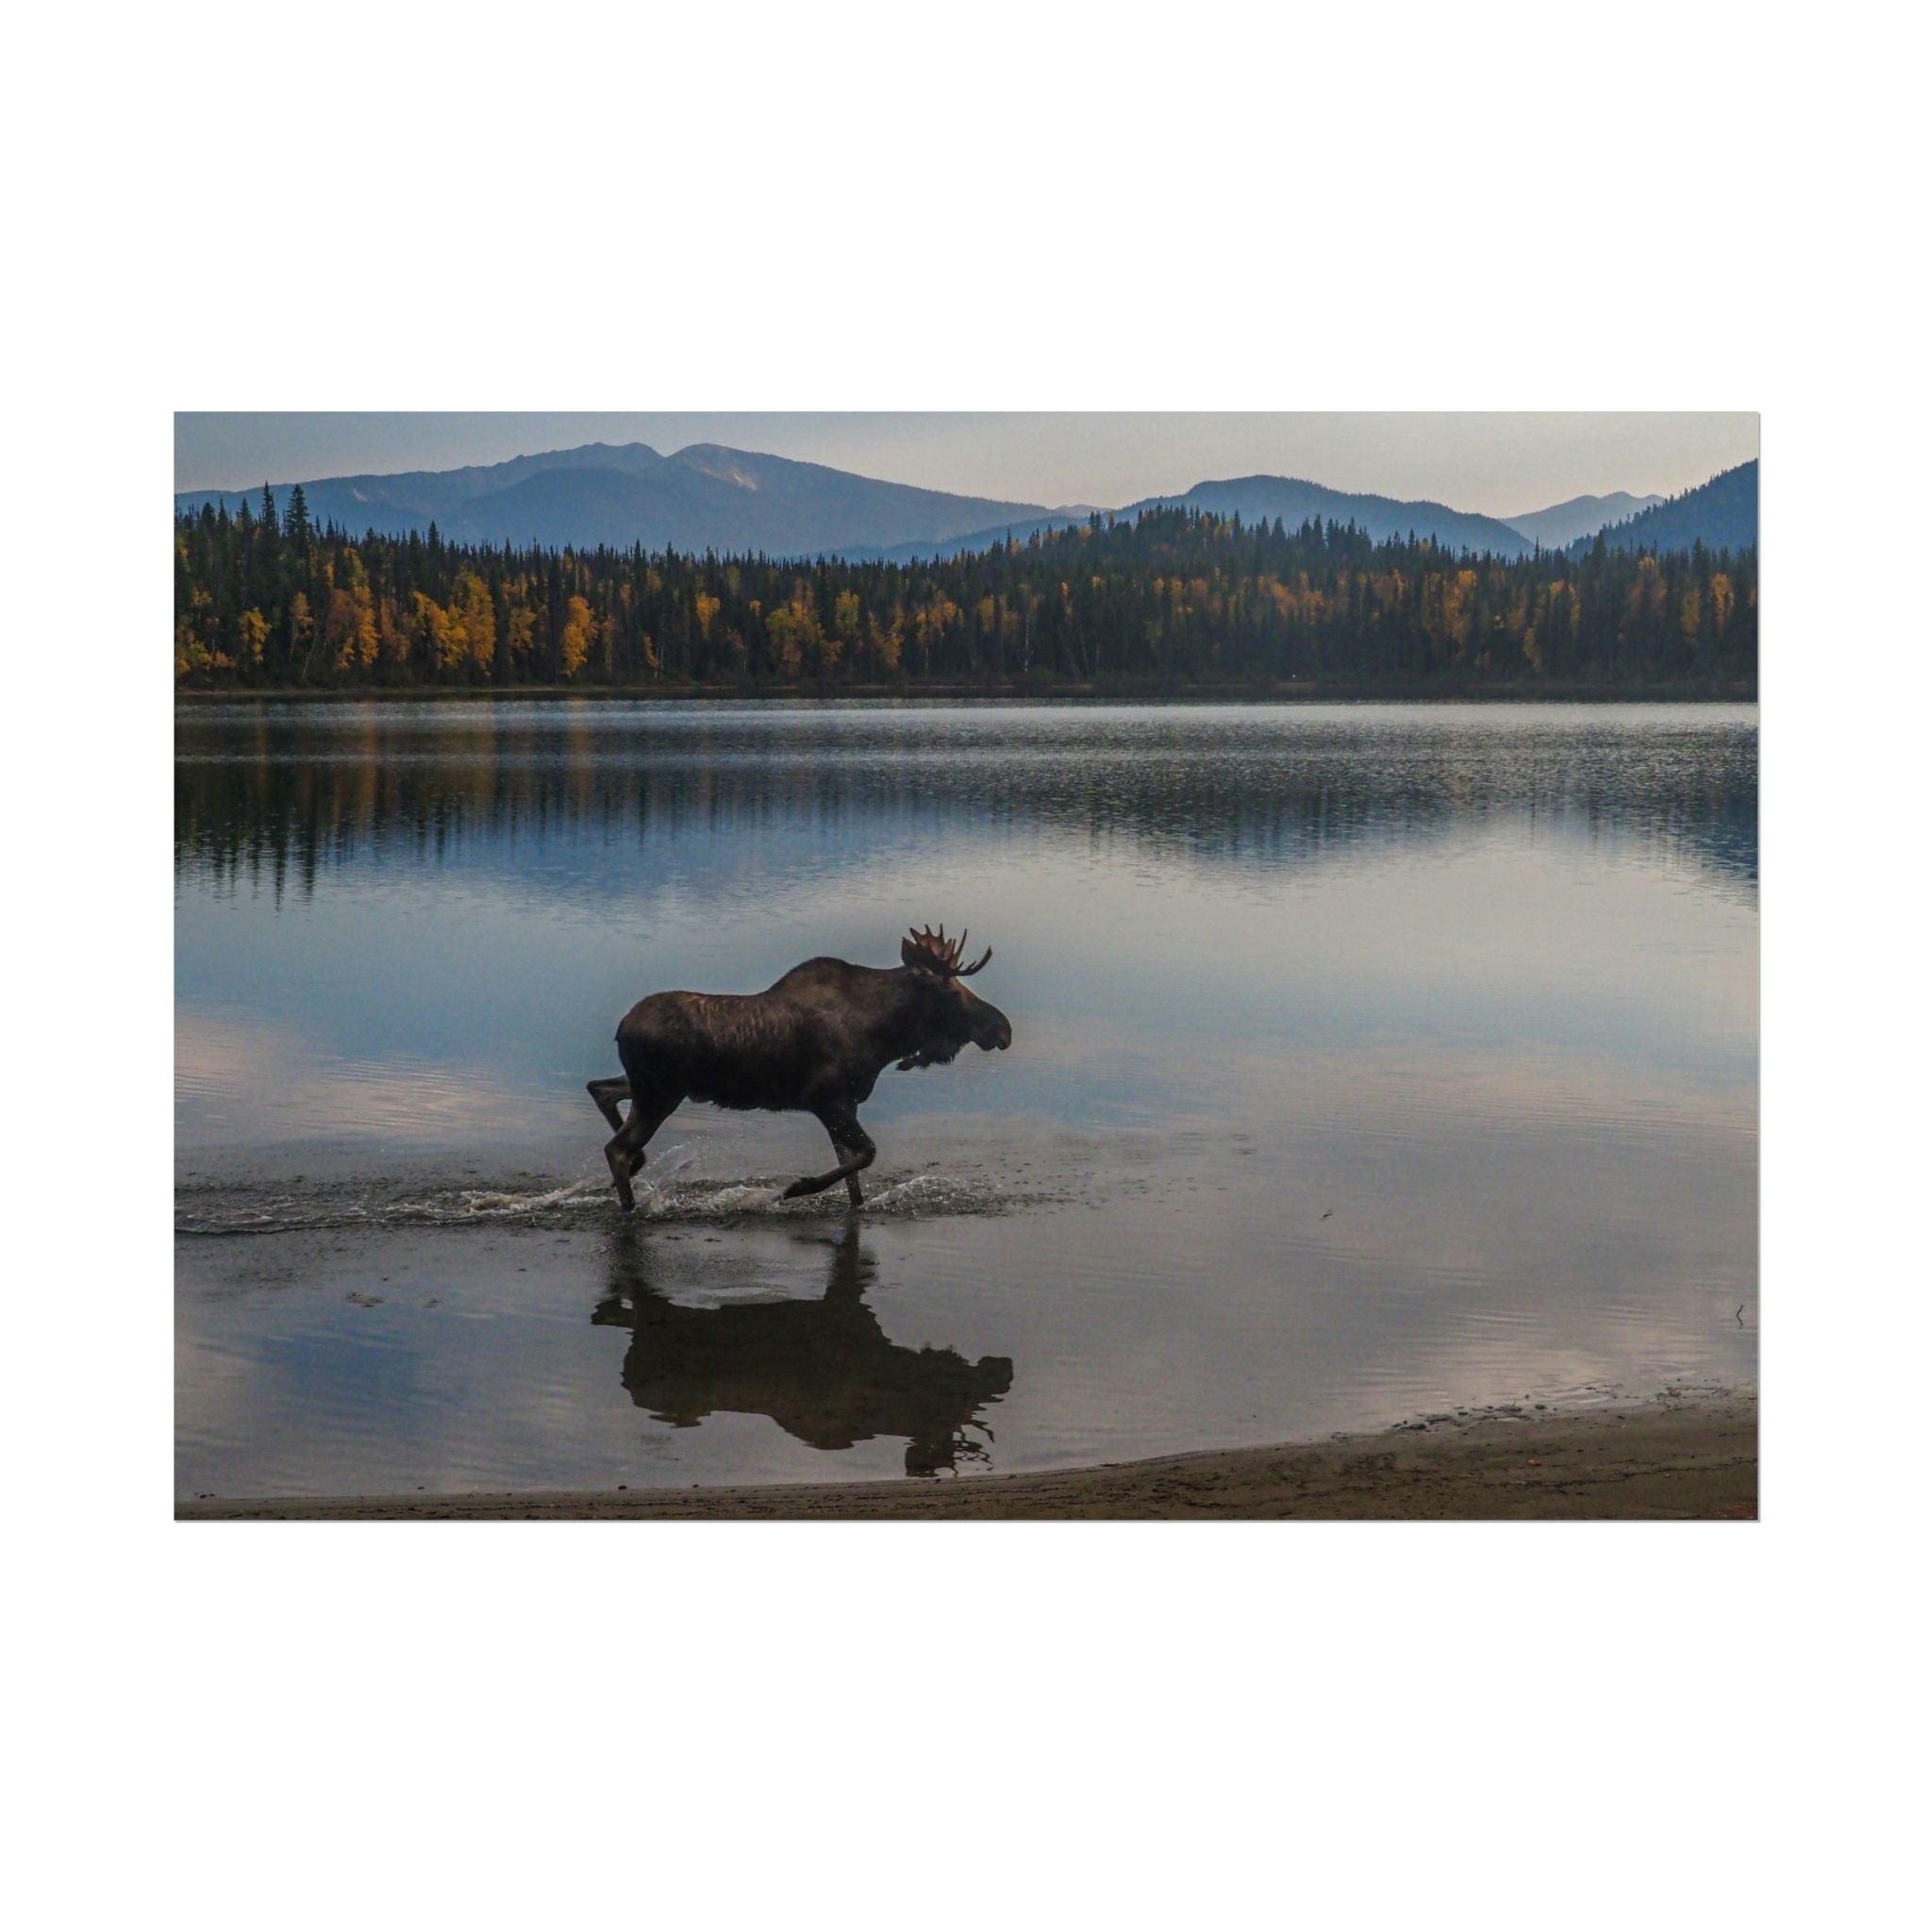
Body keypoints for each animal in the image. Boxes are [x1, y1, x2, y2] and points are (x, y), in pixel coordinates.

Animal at [588, 925, 1013, 1213]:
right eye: (952, 990)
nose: (1003, 1028)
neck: (885, 1036)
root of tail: (620, 1028)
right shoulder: (826, 1099)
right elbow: (867, 1154)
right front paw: (795, 1188)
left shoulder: (846, 1104)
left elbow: (853, 1174)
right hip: (659, 1094)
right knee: (617, 1148)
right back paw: (630, 1205)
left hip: (653, 1088)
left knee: (600, 1089)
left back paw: (638, 1168)